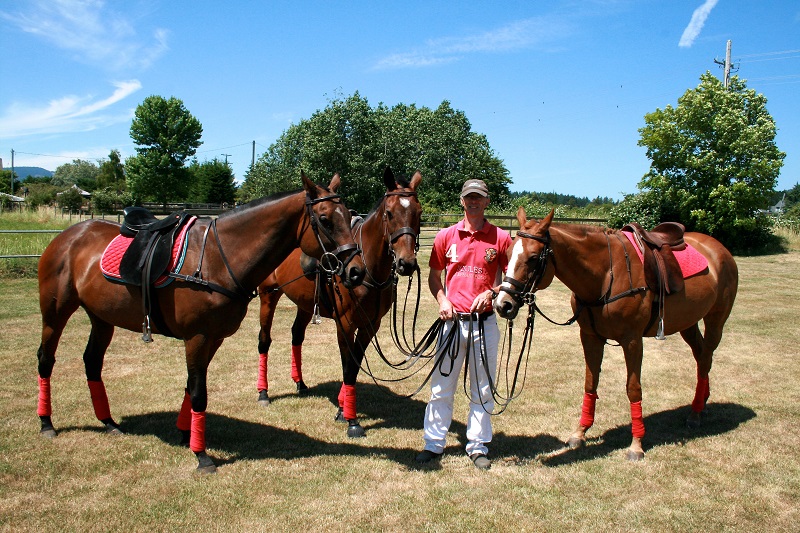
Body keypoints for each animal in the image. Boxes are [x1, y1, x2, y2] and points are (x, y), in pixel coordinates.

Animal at [35, 173, 365, 473]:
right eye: (324, 219)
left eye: (348, 214)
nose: (356, 271)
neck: (218, 258)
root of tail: (68, 235)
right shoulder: (196, 336)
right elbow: (198, 392)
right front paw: (201, 455)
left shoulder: (213, 338)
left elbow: (191, 385)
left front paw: (186, 434)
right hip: (55, 313)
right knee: (45, 359)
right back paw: (46, 422)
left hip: (102, 318)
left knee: (92, 361)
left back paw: (108, 422)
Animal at [256, 168, 422, 437]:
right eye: (389, 213)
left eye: (418, 213)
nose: (406, 263)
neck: (369, 269)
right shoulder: (344, 323)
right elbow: (347, 366)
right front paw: (351, 418)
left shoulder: (370, 325)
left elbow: (353, 367)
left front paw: (344, 408)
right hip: (268, 296)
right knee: (264, 340)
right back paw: (263, 392)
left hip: (305, 304)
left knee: (296, 335)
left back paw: (300, 383)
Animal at [494, 208, 738, 461]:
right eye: (508, 253)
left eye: (533, 258)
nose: (503, 304)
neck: (605, 275)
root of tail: (718, 249)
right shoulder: (590, 336)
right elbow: (590, 383)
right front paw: (580, 432)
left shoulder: (632, 341)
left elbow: (633, 389)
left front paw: (636, 444)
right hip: (687, 322)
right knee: (702, 357)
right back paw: (701, 403)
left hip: (716, 319)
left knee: (706, 357)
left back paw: (696, 412)